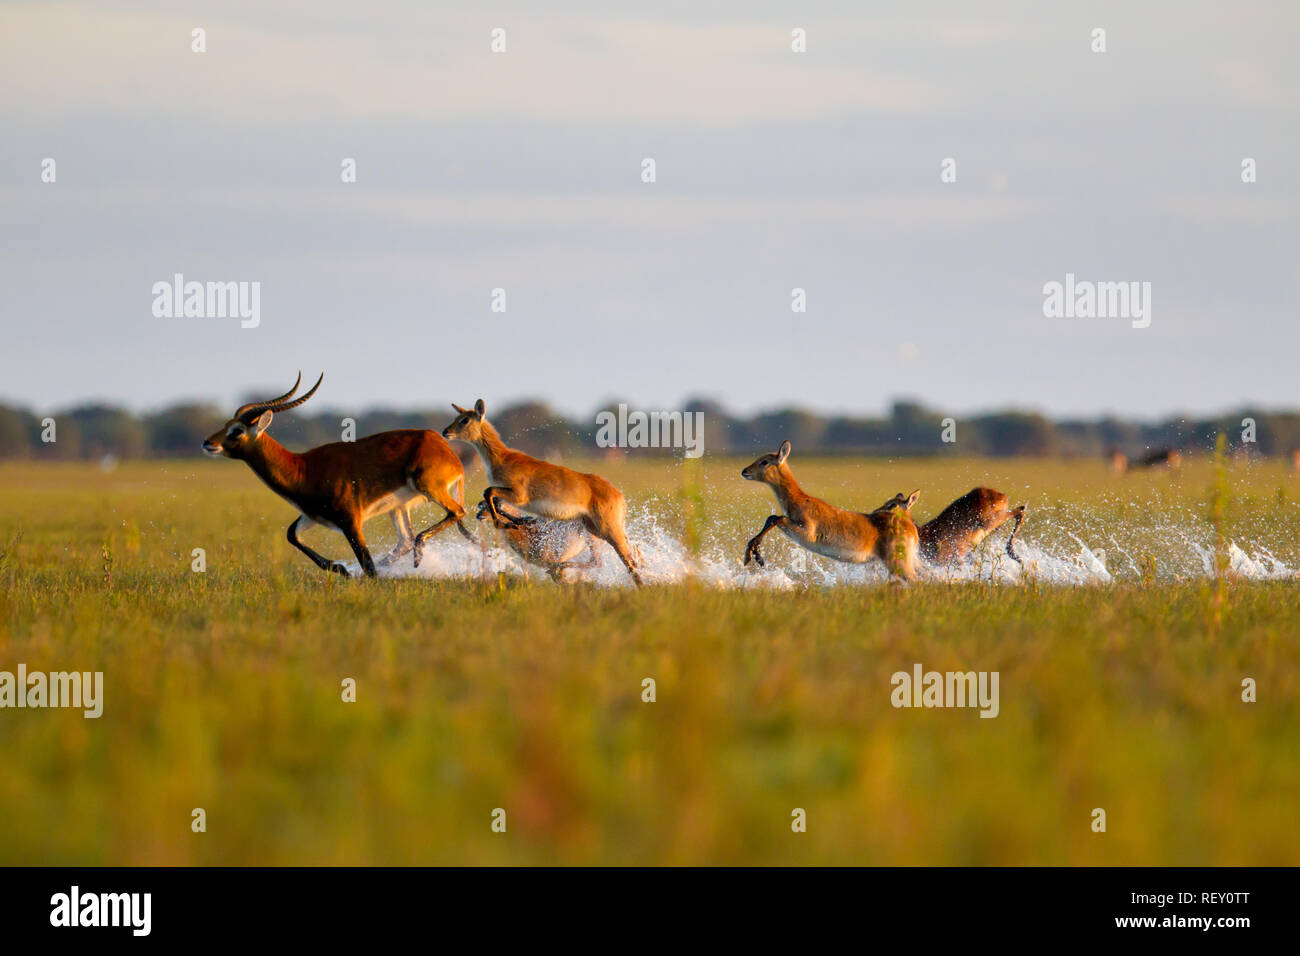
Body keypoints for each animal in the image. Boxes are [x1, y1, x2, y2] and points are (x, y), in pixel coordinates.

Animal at [208, 374, 478, 580]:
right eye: (226, 425)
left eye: (237, 430)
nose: (207, 443)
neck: (303, 468)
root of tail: (446, 449)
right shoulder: (313, 515)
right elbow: (291, 534)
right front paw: (341, 569)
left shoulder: (350, 520)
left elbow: (367, 563)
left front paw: (349, 571)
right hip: (398, 506)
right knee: (405, 541)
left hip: (428, 489)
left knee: (456, 512)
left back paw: (417, 556)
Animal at [441, 400, 644, 587]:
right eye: (457, 417)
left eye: (465, 419)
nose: (445, 431)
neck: (503, 458)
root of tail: (619, 495)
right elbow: (491, 496)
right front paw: (517, 522)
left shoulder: (519, 496)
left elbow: (489, 492)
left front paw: (506, 522)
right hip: (594, 529)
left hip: (606, 530)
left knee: (627, 561)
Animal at [743, 437, 925, 580]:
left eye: (765, 461)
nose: (744, 471)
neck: (801, 500)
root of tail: (912, 528)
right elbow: (772, 518)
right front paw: (752, 555)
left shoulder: (805, 532)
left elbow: (777, 518)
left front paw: (755, 556)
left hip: (898, 563)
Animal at [873, 489, 1024, 564]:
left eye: (892, 504)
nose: (875, 512)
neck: (923, 535)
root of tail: (1002, 495)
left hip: (992, 521)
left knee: (1020, 511)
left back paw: (1015, 555)